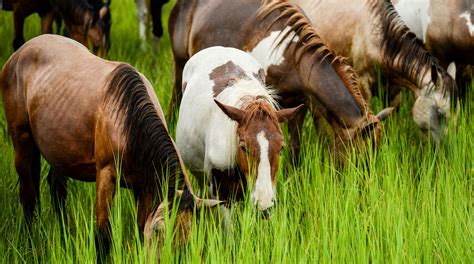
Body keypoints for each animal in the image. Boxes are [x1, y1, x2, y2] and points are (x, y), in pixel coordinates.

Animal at [0, 35, 218, 260]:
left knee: (56, 189)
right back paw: (31, 243)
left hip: (58, 150)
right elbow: (104, 235)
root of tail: (19, 53)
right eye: (159, 230)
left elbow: (140, 228)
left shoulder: (142, 186)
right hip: (22, 142)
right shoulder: (106, 175)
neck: (128, 120)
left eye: (191, 236)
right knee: (28, 196)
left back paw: (64, 236)